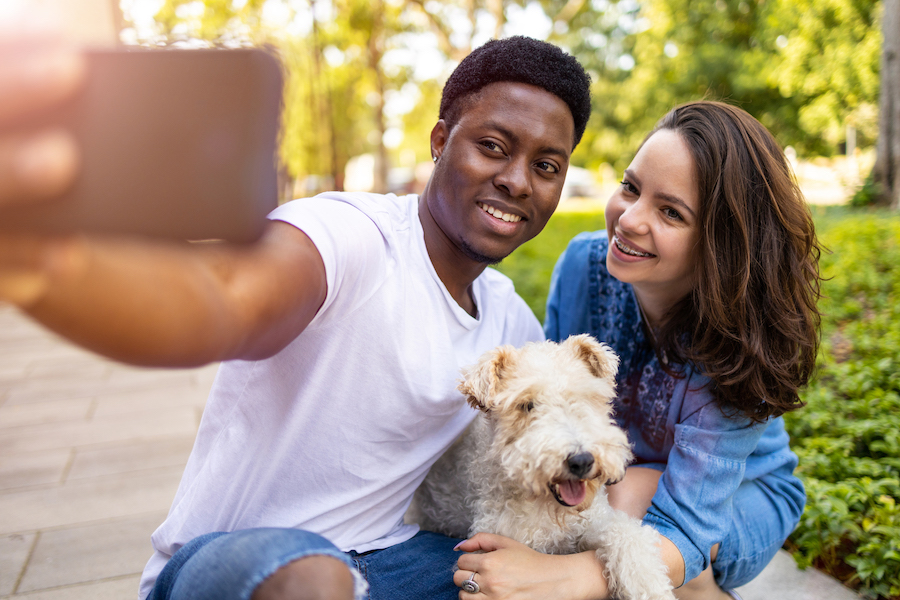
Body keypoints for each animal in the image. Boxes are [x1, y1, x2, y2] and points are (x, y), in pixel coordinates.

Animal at [408, 336, 676, 596]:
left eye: (586, 398)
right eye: (527, 405)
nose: (581, 461)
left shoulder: (596, 520)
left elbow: (627, 537)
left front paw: (649, 588)